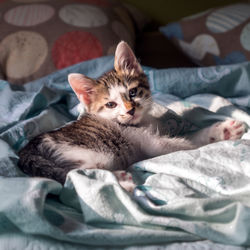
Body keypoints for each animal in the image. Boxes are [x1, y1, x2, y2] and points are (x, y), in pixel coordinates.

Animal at [18, 42, 246, 192]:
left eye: (133, 92)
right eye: (111, 104)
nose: (130, 110)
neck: (139, 123)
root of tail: (25, 153)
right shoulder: (154, 146)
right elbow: (188, 143)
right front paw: (223, 131)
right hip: (90, 152)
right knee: (75, 176)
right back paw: (121, 179)